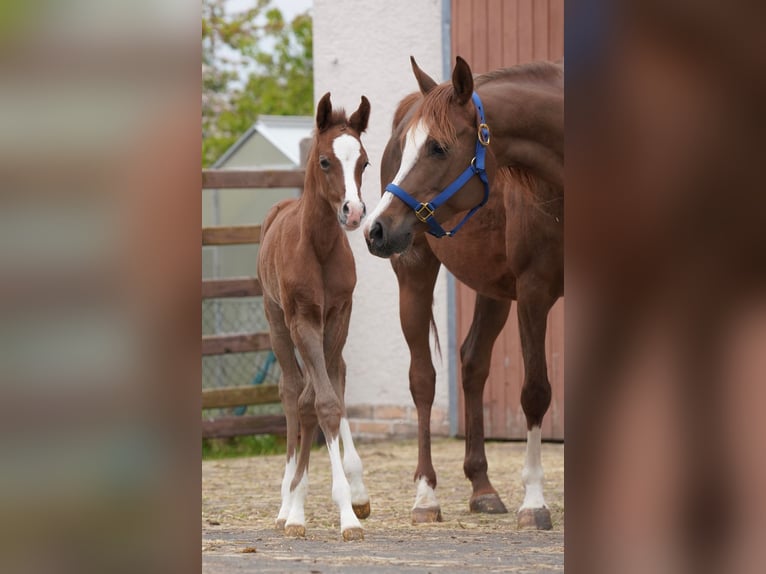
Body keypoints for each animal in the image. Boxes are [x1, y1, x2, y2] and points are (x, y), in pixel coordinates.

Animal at [257, 92, 372, 541]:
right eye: (325, 161)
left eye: (364, 162)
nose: (353, 212)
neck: (319, 246)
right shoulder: (302, 319)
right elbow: (317, 402)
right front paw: (317, 512)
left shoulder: (339, 314)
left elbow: (332, 398)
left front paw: (351, 504)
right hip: (278, 323)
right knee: (292, 393)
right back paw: (286, 503)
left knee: (328, 380)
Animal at [363, 56, 563, 529]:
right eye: (412, 147)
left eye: (437, 147)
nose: (375, 228)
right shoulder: (534, 293)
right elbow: (535, 392)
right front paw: (534, 503)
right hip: (415, 274)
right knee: (423, 379)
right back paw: (426, 496)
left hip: (495, 290)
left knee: (473, 362)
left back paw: (482, 488)